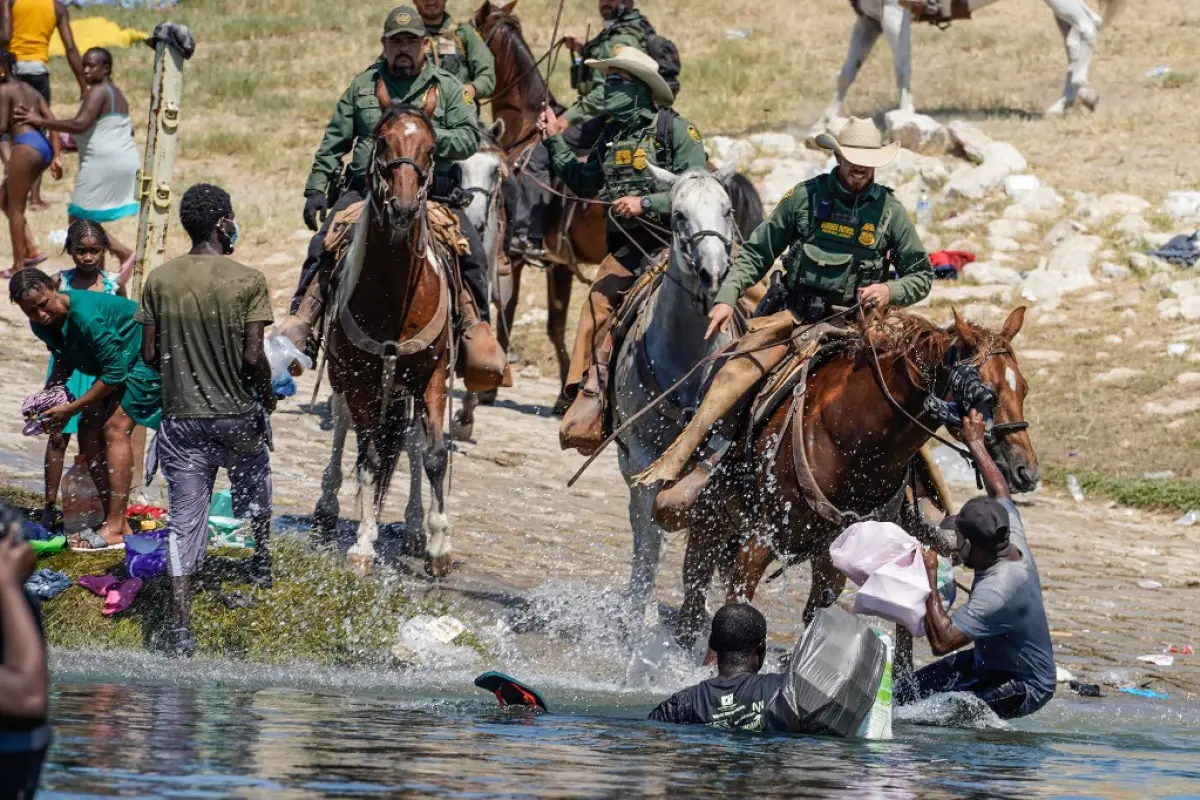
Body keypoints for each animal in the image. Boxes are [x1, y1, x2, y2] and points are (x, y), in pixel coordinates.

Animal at [314, 90, 453, 578]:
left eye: (432, 147)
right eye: (381, 141)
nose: (404, 208)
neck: (395, 297)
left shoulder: (432, 375)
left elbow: (433, 455)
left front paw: (439, 545)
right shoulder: (360, 380)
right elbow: (370, 459)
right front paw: (363, 544)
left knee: (410, 443)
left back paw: (413, 527)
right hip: (344, 379)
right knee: (342, 427)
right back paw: (326, 507)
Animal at [614, 169, 734, 628]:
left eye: (727, 209)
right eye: (678, 214)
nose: (712, 272)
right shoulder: (643, 456)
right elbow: (650, 537)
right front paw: (637, 612)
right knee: (641, 527)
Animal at [676, 307, 1041, 642]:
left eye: (1023, 388)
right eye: (987, 393)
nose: (1026, 471)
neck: (851, 441)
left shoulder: (830, 557)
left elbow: (815, 617)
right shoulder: (758, 543)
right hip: (710, 517)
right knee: (692, 596)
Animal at [820, 0, 1128, 125]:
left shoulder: (895, 15)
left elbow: (901, 70)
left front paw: (906, 117)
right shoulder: (868, 21)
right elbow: (847, 73)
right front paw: (827, 120)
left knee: (1088, 27)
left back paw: (1081, 89)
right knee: (1074, 42)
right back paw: (1065, 103)